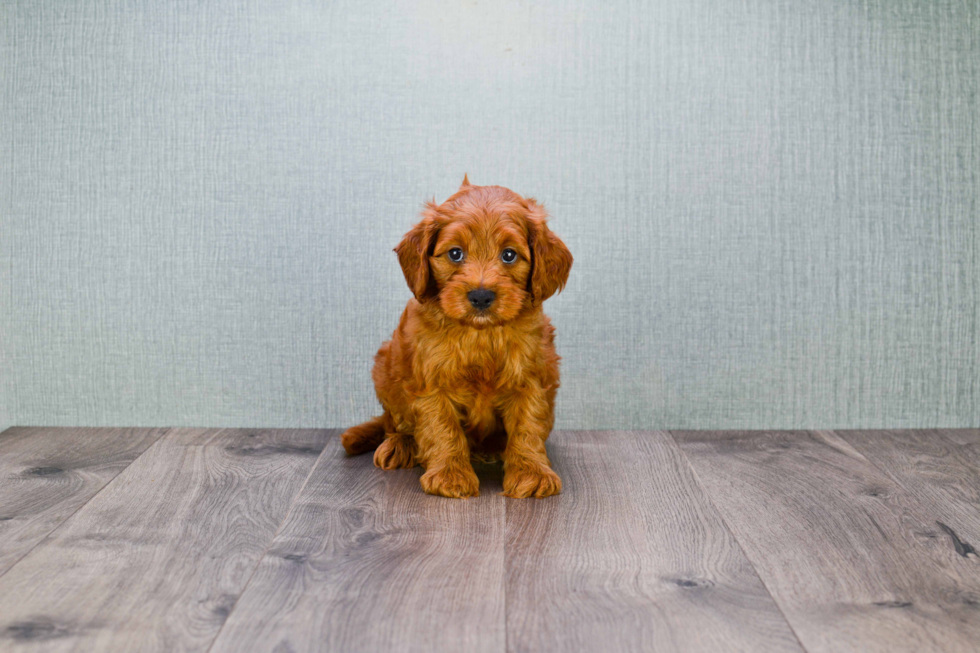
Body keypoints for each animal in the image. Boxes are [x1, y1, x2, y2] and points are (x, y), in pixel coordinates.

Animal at [344, 176, 576, 496]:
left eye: (509, 255)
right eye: (455, 253)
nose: (480, 296)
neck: (480, 334)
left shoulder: (531, 377)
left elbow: (528, 426)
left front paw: (531, 472)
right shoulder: (431, 381)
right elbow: (442, 427)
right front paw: (450, 474)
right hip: (385, 368)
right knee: (394, 422)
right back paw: (400, 445)